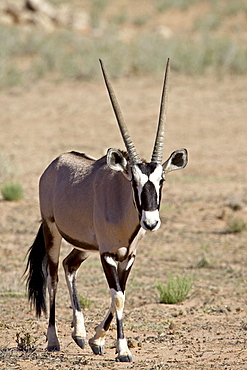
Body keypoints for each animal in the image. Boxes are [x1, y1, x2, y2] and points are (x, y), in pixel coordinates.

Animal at [25, 59, 187, 362]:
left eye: (161, 180)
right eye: (133, 181)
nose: (150, 222)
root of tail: (56, 163)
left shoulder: (127, 256)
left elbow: (119, 295)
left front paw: (96, 339)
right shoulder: (108, 255)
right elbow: (118, 297)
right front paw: (122, 350)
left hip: (85, 245)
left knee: (70, 265)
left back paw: (78, 333)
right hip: (52, 230)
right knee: (52, 276)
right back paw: (53, 339)